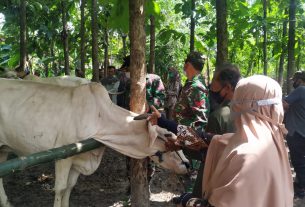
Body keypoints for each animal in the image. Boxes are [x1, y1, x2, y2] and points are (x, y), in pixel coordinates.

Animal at [0, 78, 188, 206]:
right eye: (167, 135)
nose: (187, 164)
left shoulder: (78, 159)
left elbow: (70, 186)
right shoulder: (63, 156)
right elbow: (60, 188)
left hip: (3, 149)